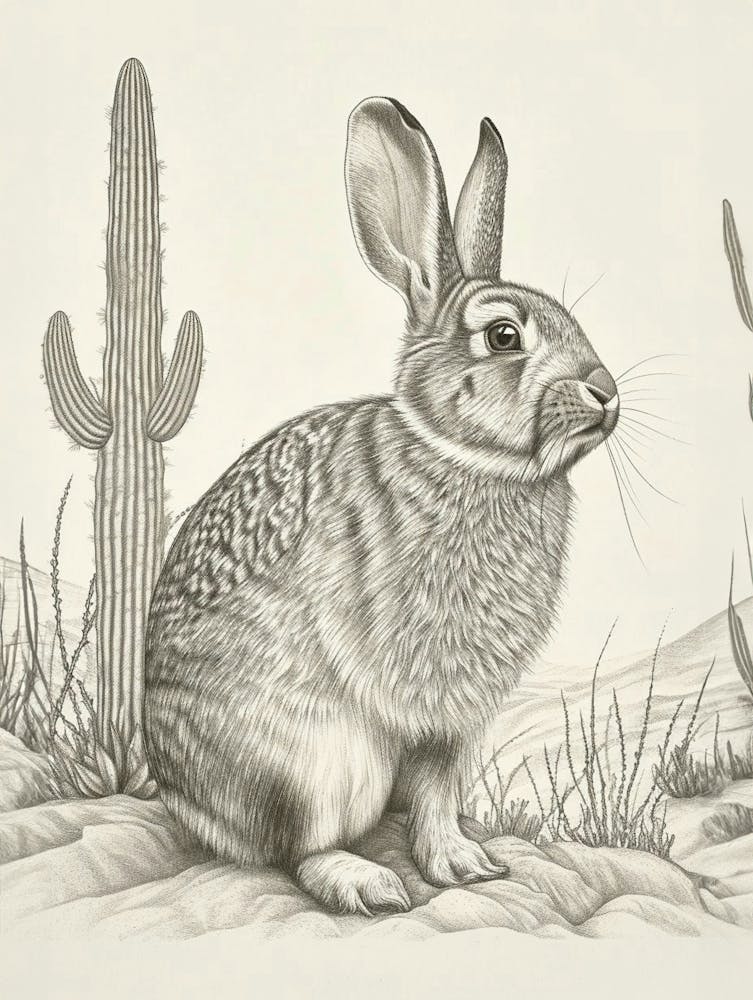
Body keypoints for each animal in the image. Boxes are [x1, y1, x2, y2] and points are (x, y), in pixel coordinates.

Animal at [144, 96, 620, 916]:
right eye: (503, 335)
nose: (606, 391)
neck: (465, 455)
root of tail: (184, 799)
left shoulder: (453, 724)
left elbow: (435, 790)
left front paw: (465, 864)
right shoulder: (423, 693)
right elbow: (426, 786)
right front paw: (447, 866)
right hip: (306, 760)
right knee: (292, 846)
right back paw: (366, 883)